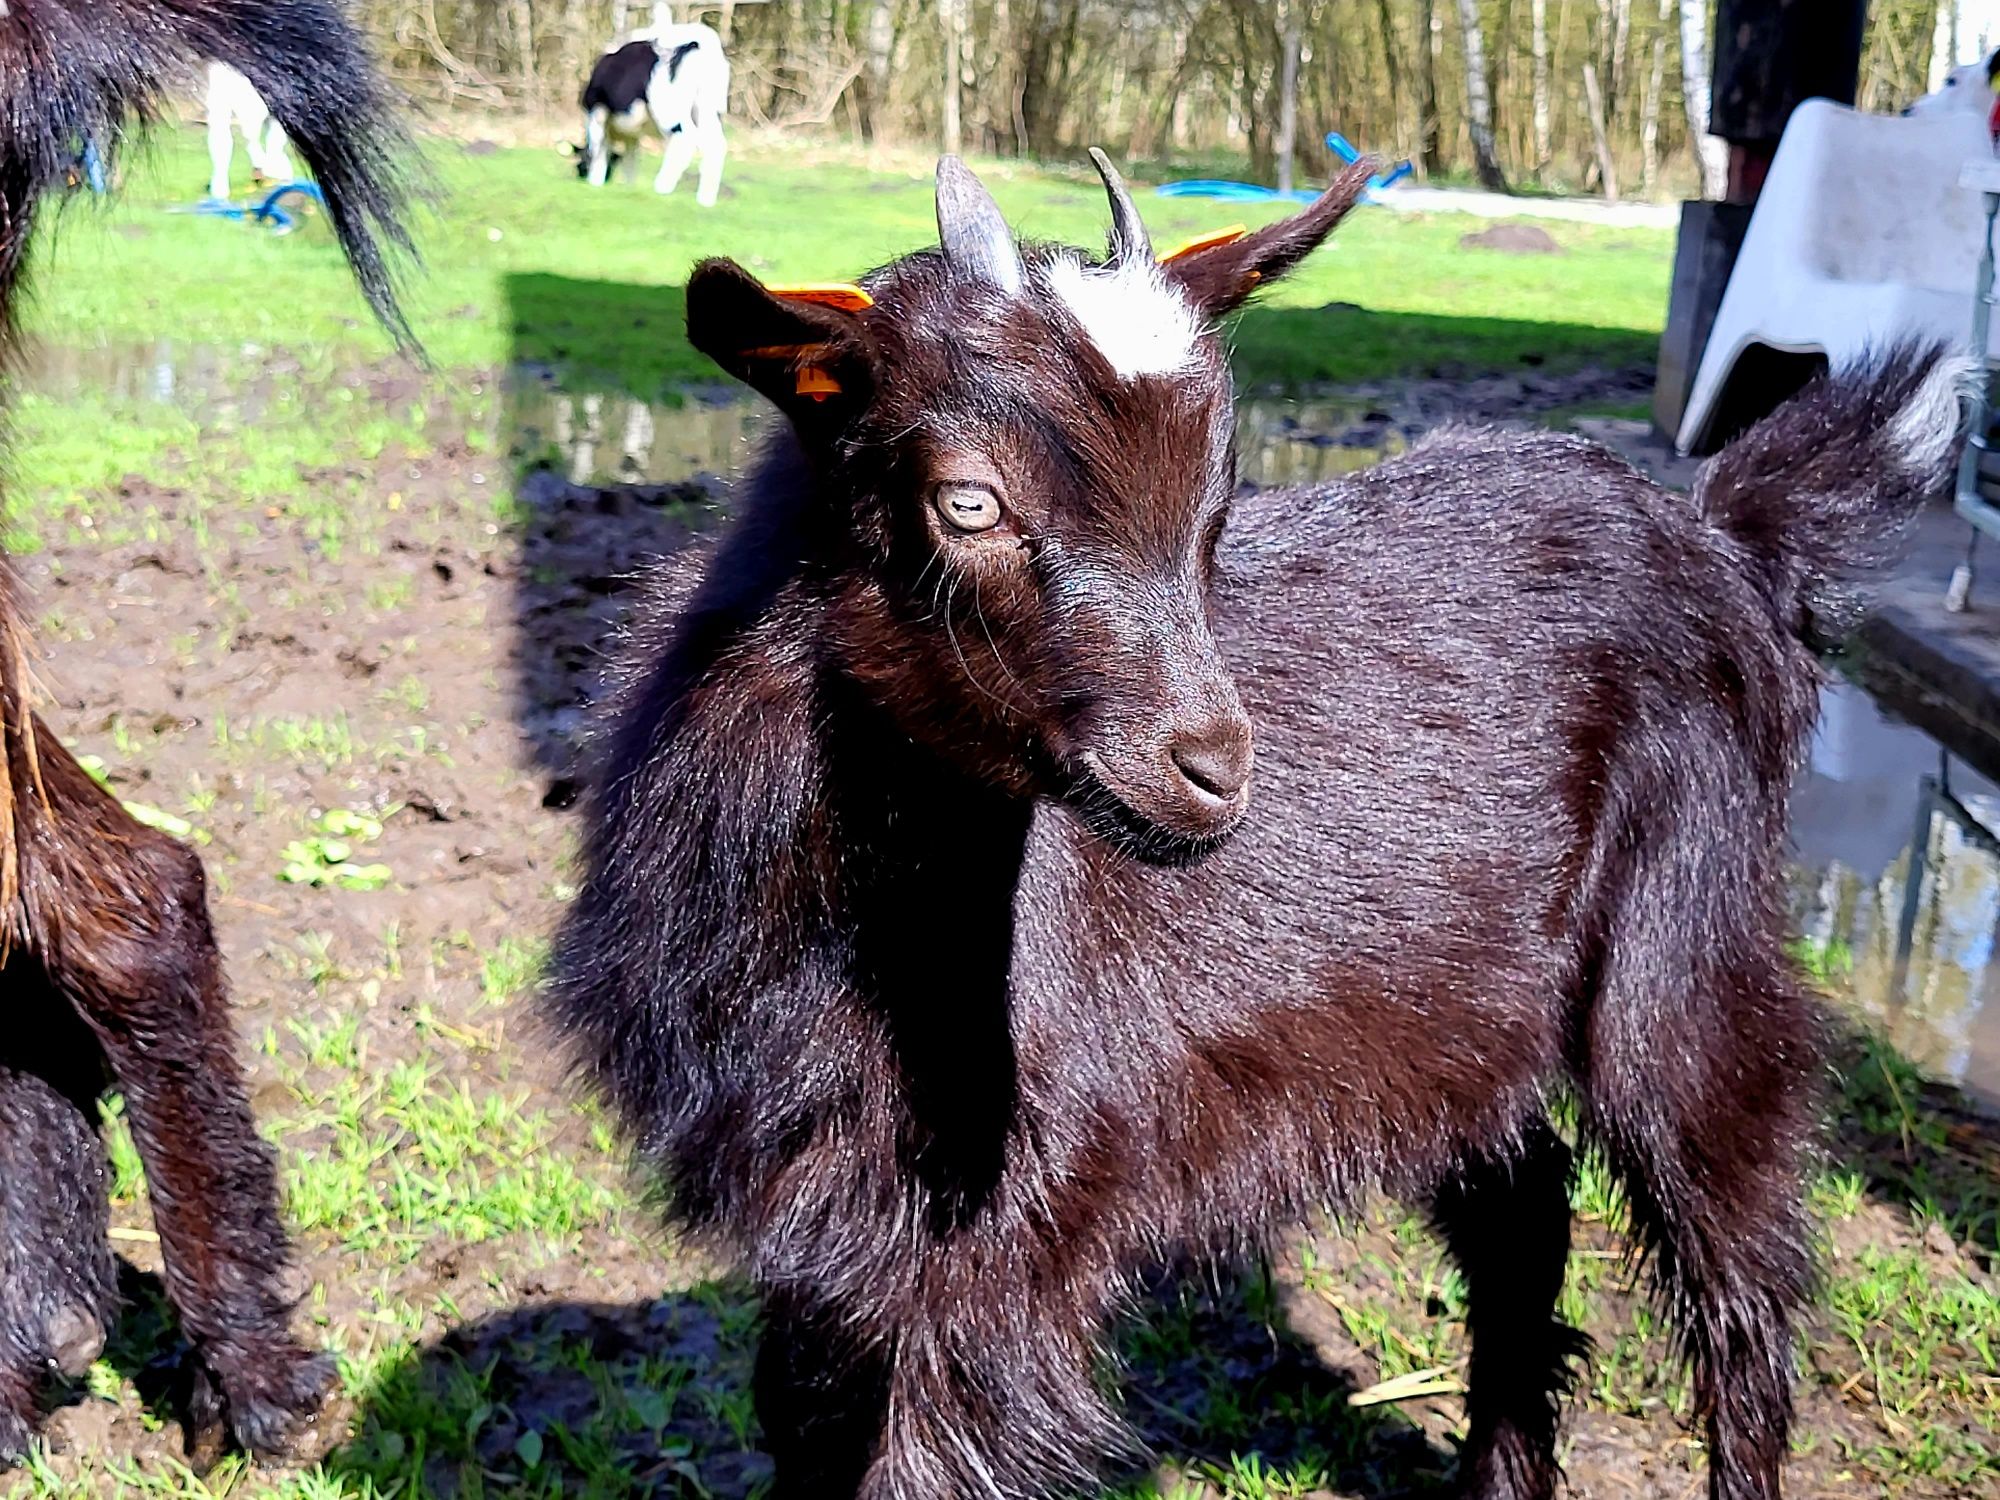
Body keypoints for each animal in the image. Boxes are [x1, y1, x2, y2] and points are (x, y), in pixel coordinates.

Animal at [572, 20, 728, 207]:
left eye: (578, 165)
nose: (580, 175)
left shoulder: (597, 111)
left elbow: (597, 149)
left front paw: (595, 182)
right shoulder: (632, 133)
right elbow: (630, 159)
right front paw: (628, 188)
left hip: (667, 110)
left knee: (685, 140)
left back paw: (662, 187)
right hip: (707, 109)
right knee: (716, 145)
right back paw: (705, 200)